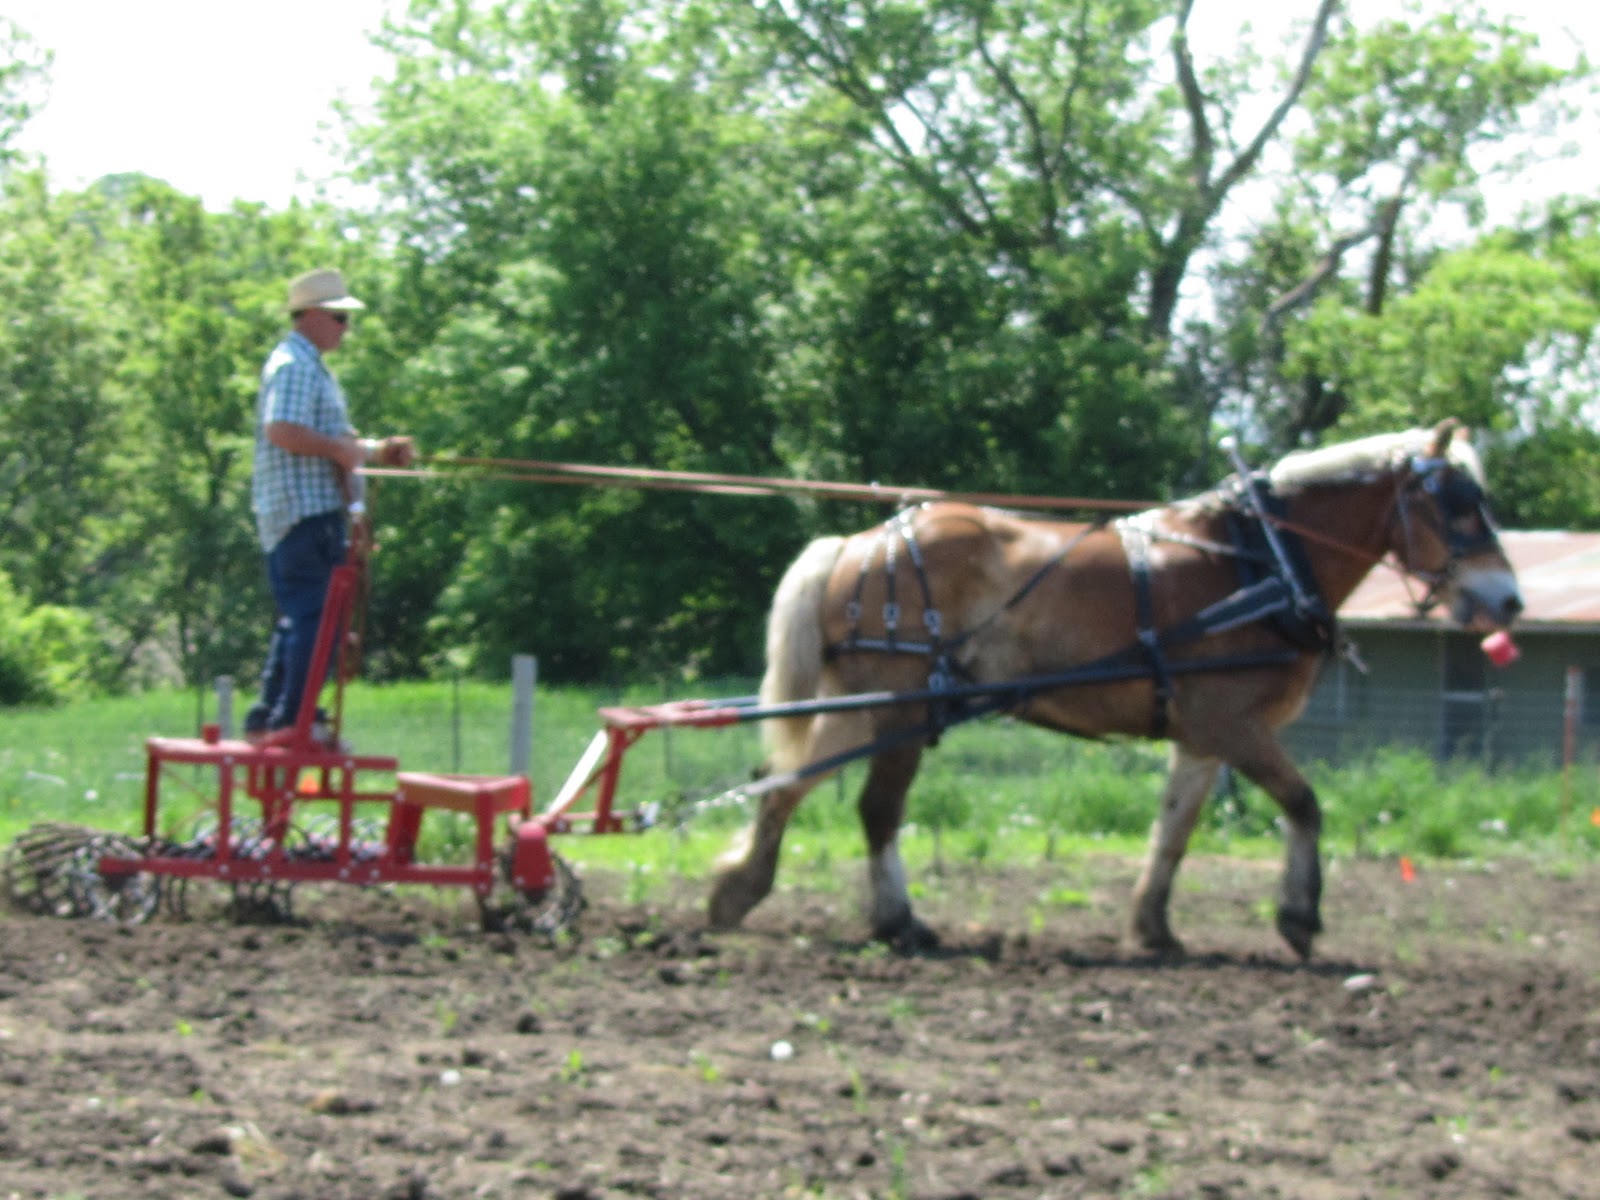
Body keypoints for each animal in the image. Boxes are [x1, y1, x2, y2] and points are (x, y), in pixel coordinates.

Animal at [708, 420, 1522, 959]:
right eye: (1456, 503)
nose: (1509, 601)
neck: (1259, 562)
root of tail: (859, 544)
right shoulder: (1235, 725)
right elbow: (1305, 805)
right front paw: (1298, 916)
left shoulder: (1202, 738)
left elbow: (1173, 832)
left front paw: (1153, 928)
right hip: (895, 703)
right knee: (852, 805)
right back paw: (833, 909)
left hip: (873, 707)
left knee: (810, 792)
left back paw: (797, 900)